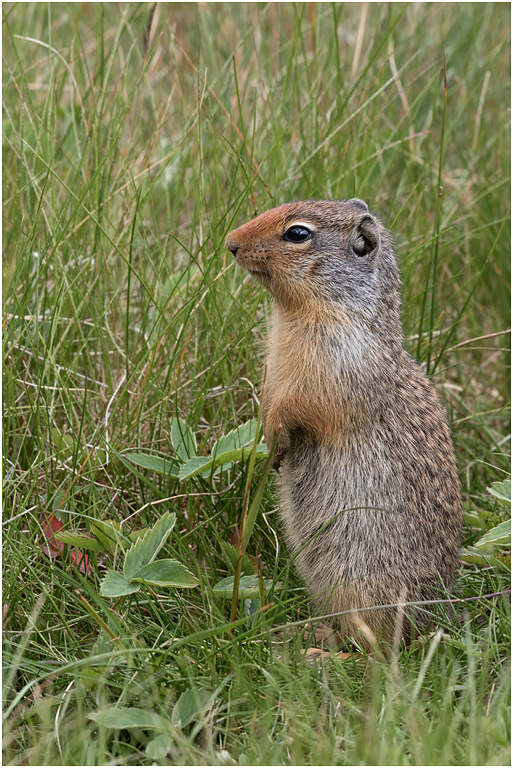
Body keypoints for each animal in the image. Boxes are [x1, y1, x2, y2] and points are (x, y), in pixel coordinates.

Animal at [225, 199, 462, 648]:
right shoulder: (275, 367)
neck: (296, 315)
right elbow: (269, 394)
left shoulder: (336, 369)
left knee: (377, 648)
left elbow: (303, 407)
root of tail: (435, 621)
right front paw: (266, 441)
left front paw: (276, 440)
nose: (230, 242)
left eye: (297, 233)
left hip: (362, 585)